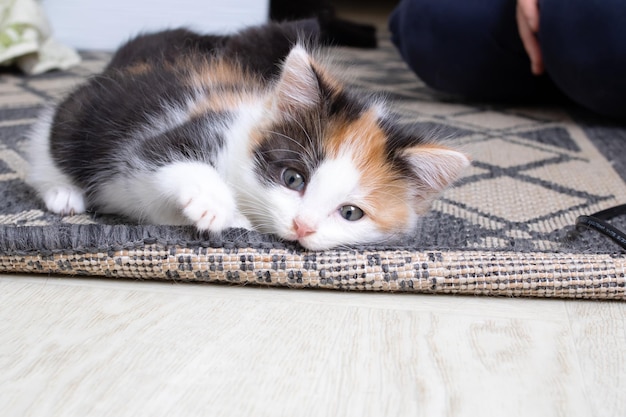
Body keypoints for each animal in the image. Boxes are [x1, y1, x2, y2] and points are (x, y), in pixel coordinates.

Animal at [28, 20, 468, 250]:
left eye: (350, 213)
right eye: (293, 178)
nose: (303, 226)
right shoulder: (167, 139)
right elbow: (162, 155)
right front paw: (216, 206)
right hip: (80, 118)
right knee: (47, 137)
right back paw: (62, 191)